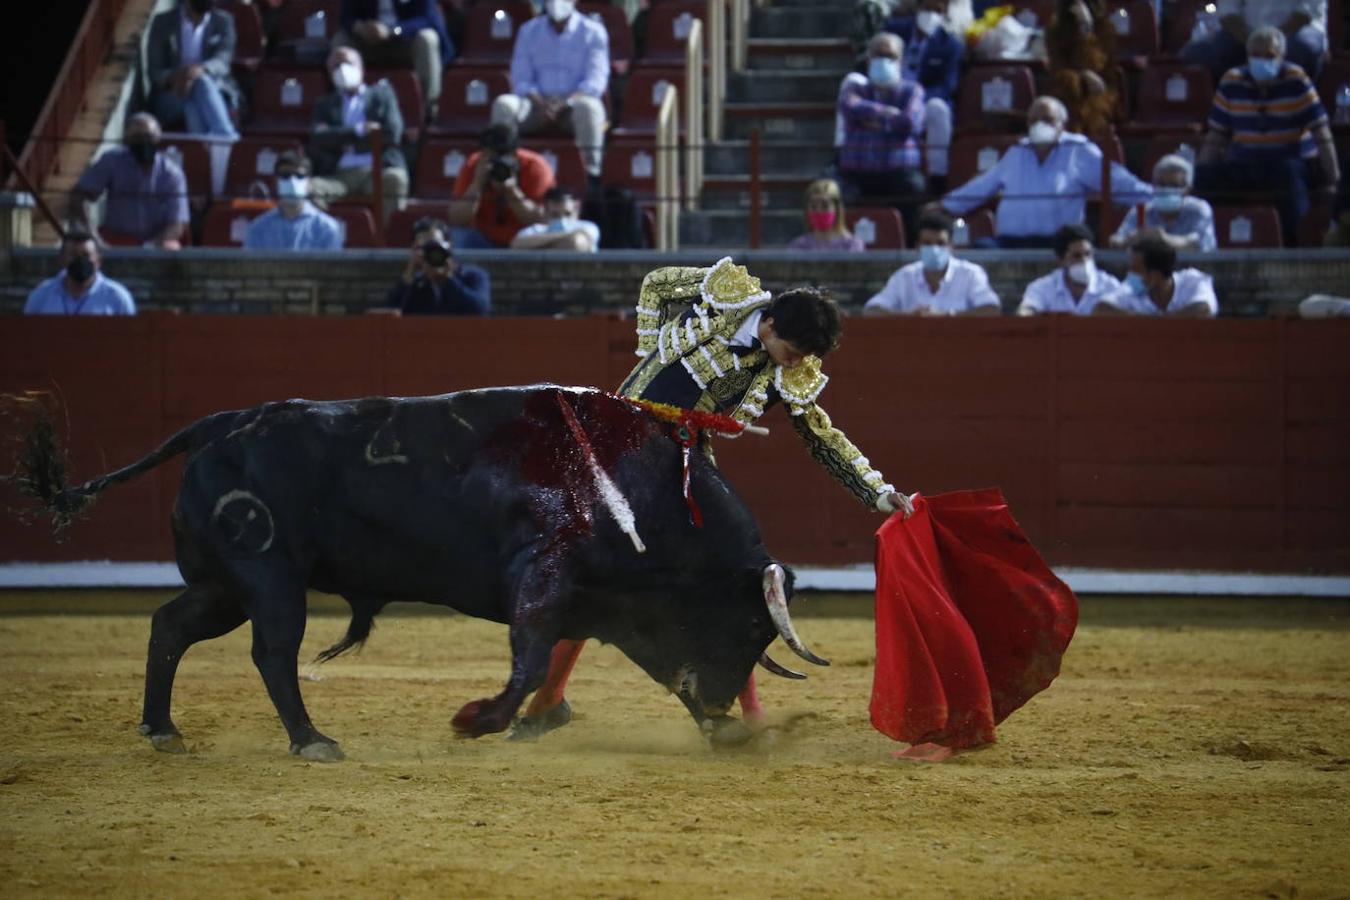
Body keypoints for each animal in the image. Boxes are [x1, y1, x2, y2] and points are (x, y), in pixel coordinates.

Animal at [13, 385, 831, 761]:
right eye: (747, 624)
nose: (726, 709)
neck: (642, 490)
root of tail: (218, 425)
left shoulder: (601, 606)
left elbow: (557, 660)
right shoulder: (543, 576)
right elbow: (531, 658)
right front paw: (481, 720)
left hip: (224, 588)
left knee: (170, 625)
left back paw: (161, 728)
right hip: (268, 576)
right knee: (272, 651)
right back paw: (311, 739)